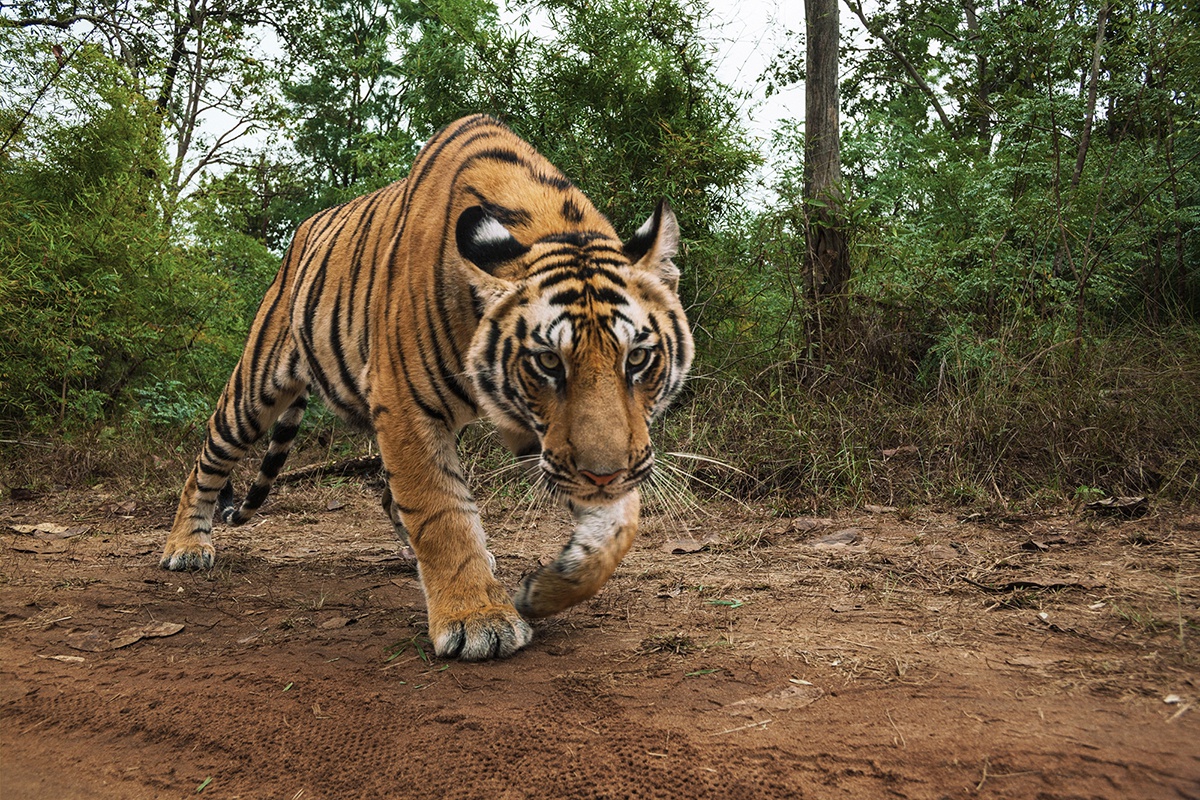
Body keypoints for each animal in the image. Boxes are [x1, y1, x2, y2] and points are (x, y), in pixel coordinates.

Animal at [164, 112, 700, 662]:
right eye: (549, 361)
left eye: (637, 358)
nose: (603, 476)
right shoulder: (404, 403)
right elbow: (441, 511)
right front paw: (477, 619)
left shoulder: (544, 432)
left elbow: (618, 524)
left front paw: (548, 588)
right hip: (255, 388)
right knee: (207, 458)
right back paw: (186, 546)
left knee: (388, 495)